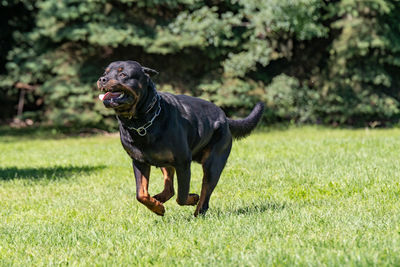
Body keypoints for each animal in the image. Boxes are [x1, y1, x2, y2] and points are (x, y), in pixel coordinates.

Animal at [98, 59, 264, 217]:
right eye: (105, 72)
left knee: (205, 192)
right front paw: (157, 207)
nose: (102, 79)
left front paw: (192, 198)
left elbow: (182, 196)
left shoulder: (183, 162)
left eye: (123, 74)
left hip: (213, 163)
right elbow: (141, 194)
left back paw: (198, 212)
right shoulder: (139, 161)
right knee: (170, 187)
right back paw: (160, 199)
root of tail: (225, 118)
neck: (140, 121)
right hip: (165, 162)